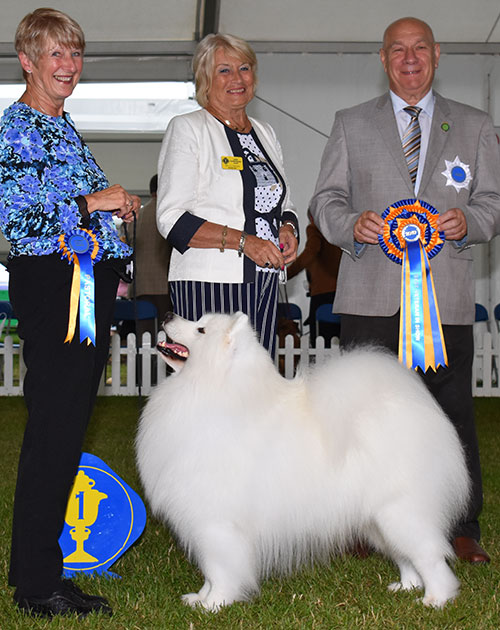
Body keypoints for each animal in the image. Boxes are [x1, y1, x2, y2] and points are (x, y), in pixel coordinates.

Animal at [136, 314, 468, 612]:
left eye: (201, 329)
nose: (167, 315)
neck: (209, 389)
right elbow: (210, 571)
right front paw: (200, 599)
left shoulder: (216, 524)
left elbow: (219, 570)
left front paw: (215, 604)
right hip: (377, 520)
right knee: (406, 557)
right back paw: (406, 586)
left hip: (400, 512)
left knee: (430, 557)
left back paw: (436, 600)